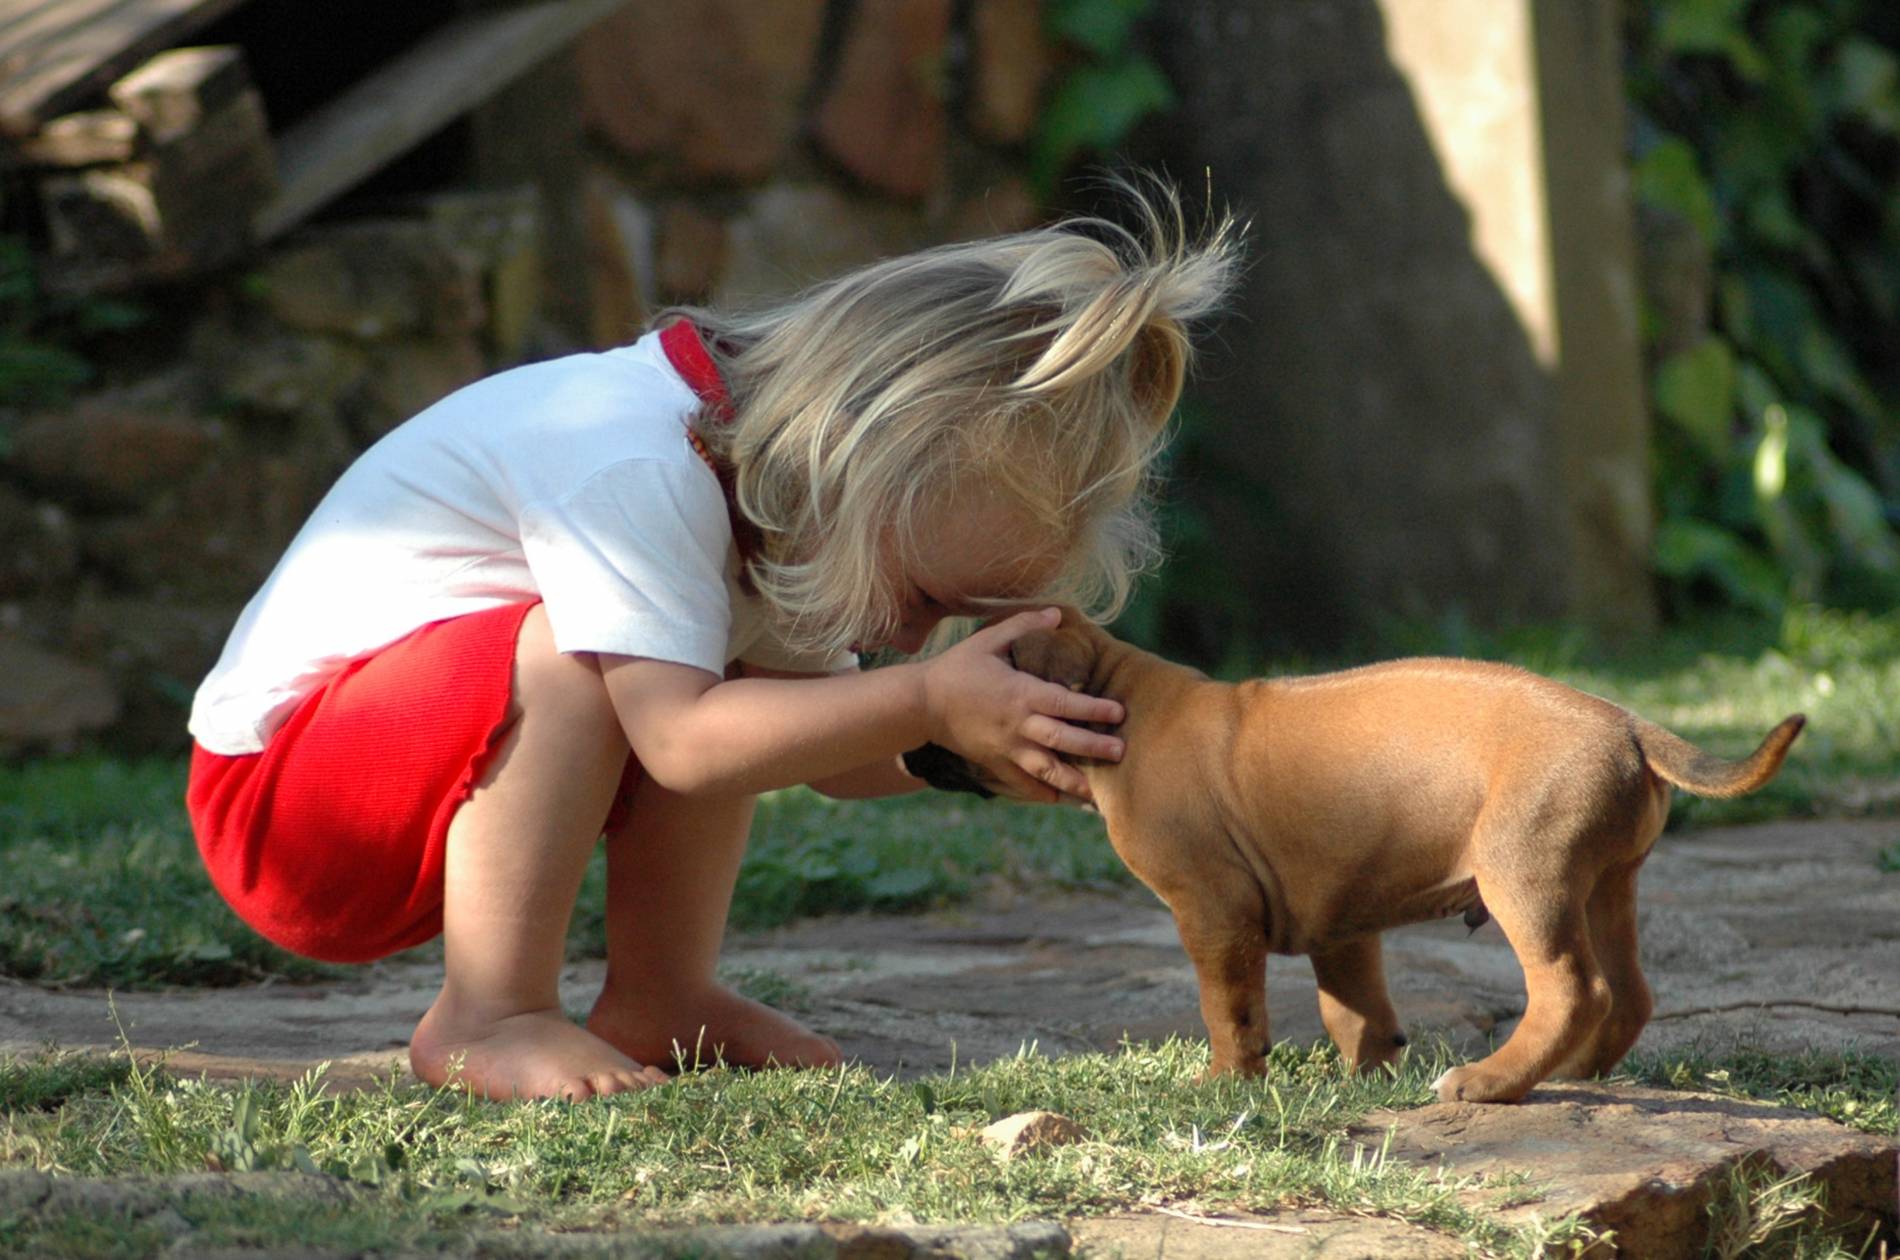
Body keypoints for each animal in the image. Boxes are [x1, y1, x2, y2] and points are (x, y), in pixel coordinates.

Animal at [904, 611, 1793, 1102]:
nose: (904, 750)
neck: (1118, 696)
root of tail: (1631, 725)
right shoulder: (1341, 917)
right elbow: (1355, 1007)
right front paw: (1365, 1073)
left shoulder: (1213, 912)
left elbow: (1230, 1010)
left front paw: (1227, 1083)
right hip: (1608, 884)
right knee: (1632, 993)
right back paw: (1572, 1073)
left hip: (1527, 879)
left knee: (1576, 989)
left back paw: (1491, 1082)